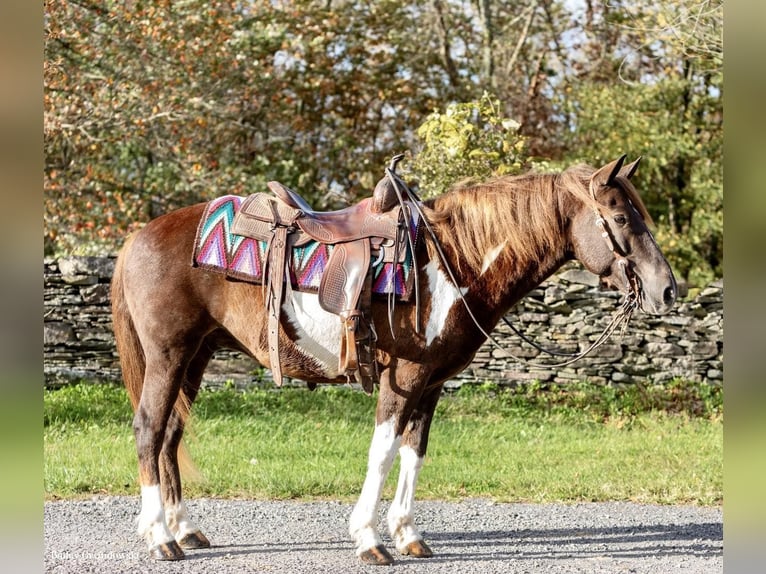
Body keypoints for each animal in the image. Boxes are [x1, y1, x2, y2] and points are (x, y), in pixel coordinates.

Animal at [109, 156, 680, 568]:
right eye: (622, 218)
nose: (668, 290)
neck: (453, 262)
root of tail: (138, 237)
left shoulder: (432, 382)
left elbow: (414, 453)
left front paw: (407, 534)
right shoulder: (403, 377)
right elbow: (383, 452)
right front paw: (368, 538)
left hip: (195, 357)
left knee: (171, 434)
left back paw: (184, 528)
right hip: (168, 356)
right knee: (149, 429)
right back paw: (160, 538)